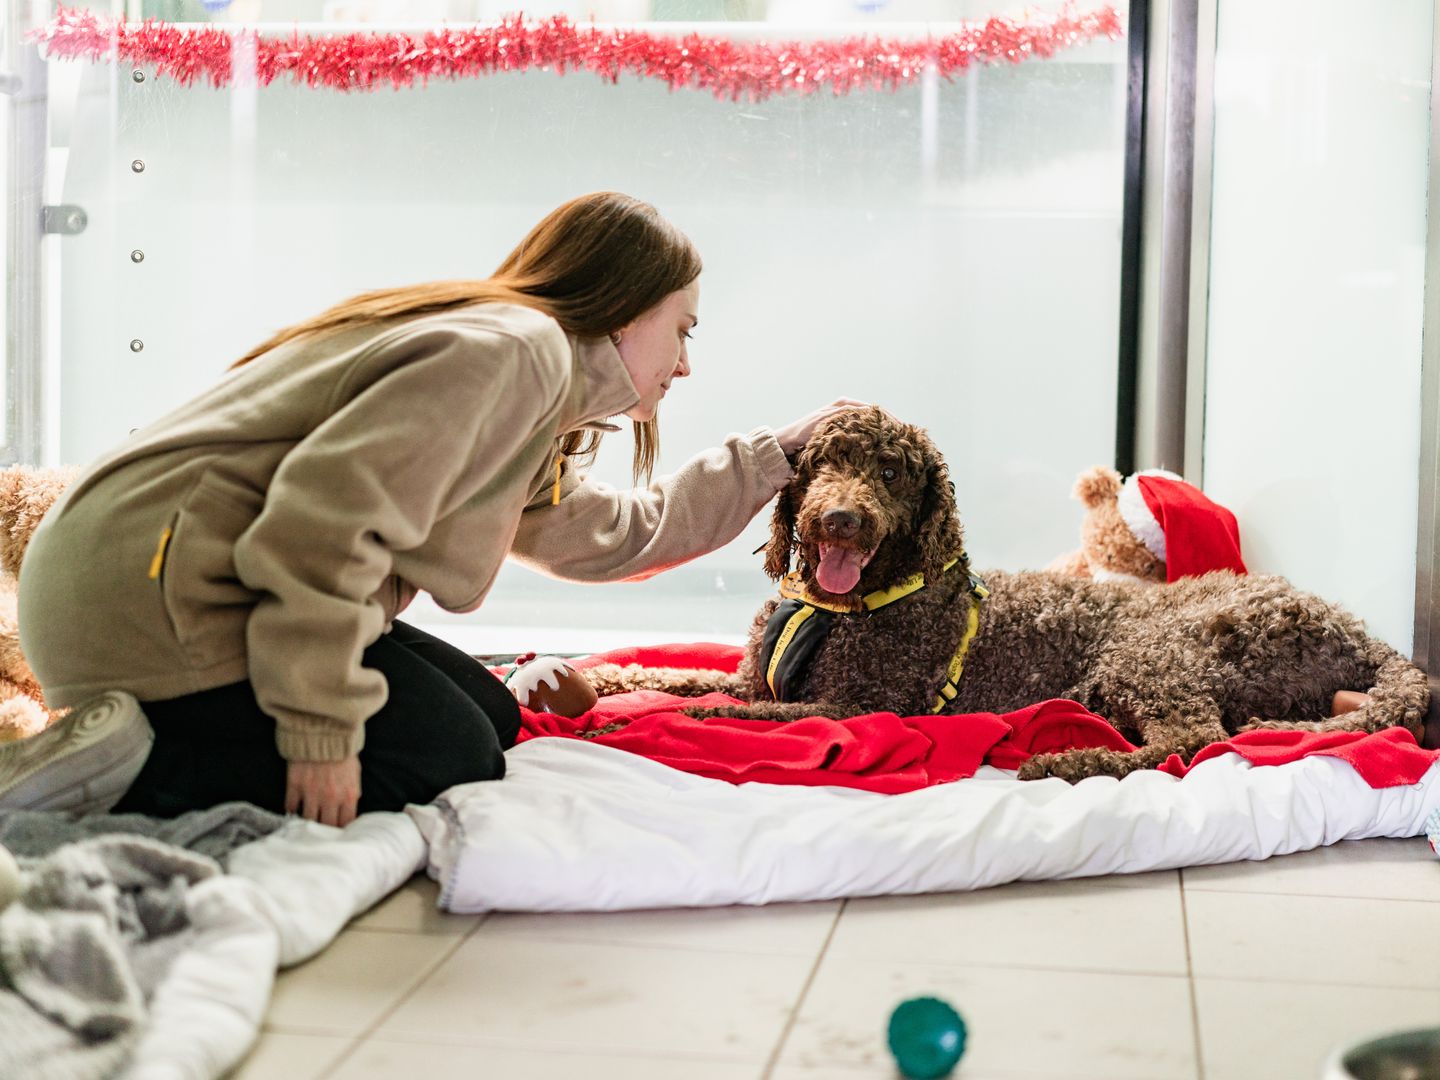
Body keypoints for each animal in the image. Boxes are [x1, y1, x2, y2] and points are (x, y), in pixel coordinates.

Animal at [616, 408, 1428, 783]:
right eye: (821, 464)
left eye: (890, 473)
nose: (841, 517)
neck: (832, 608)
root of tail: (1358, 632)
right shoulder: (757, 673)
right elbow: (675, 675)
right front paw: (616, 684)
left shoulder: (863, 705)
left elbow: (748, 712)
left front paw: (659, 719)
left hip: (1149, 655)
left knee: (1192, 739)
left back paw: (1063, 761)